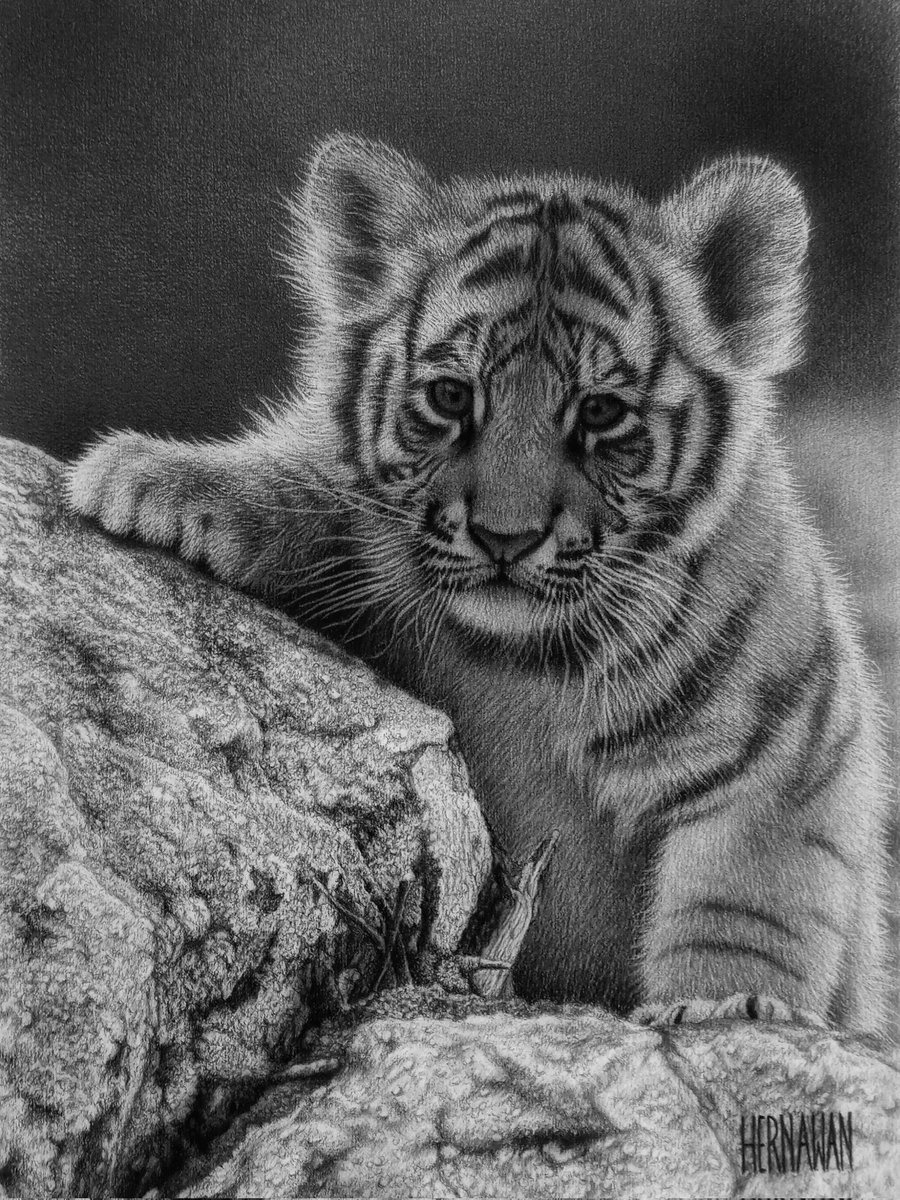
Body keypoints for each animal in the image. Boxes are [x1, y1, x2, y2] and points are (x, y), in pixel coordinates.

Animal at [69, 134, 892, 1036]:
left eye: (600, 412)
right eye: (450, 395)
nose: (506, 537)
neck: (526, 659)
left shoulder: (780, 758)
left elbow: (745, 911)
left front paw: (719, 1008)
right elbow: (318, 491)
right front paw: (155, 479)